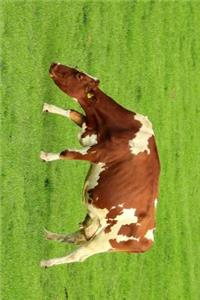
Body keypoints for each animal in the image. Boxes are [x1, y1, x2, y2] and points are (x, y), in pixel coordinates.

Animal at [39, 62, 160, 268]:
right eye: (77, 68)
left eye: (79, 76)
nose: (54, 64)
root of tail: (148, 238)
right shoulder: (88, 130)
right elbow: (73, 112)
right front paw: (48, 107)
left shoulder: (98, 153)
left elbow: (67, 153)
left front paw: (45, 156)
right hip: (96, 223)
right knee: (77, 236)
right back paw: (51, 236)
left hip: (105, 240)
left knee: (78, 255)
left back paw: (47, 262)